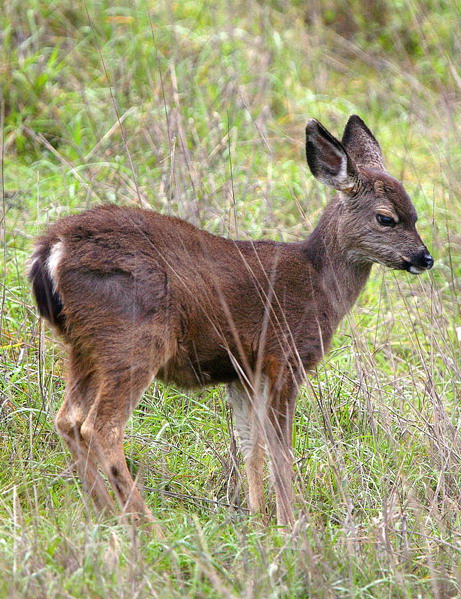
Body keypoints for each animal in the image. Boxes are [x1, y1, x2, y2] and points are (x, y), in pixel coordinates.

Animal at [27, 116, 432, 528]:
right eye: (386, 218)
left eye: (416, 215)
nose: (424, 258)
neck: (318, 283)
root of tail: (52, 249)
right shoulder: (284, 356)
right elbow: (280, 449)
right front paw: (292, 523)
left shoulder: (244, 372)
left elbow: (250, 444)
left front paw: (259, 519)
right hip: (133, 336)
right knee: (100, 426)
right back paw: (146, 523)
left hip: (83, 344)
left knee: (68, 419)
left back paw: (107, 514)